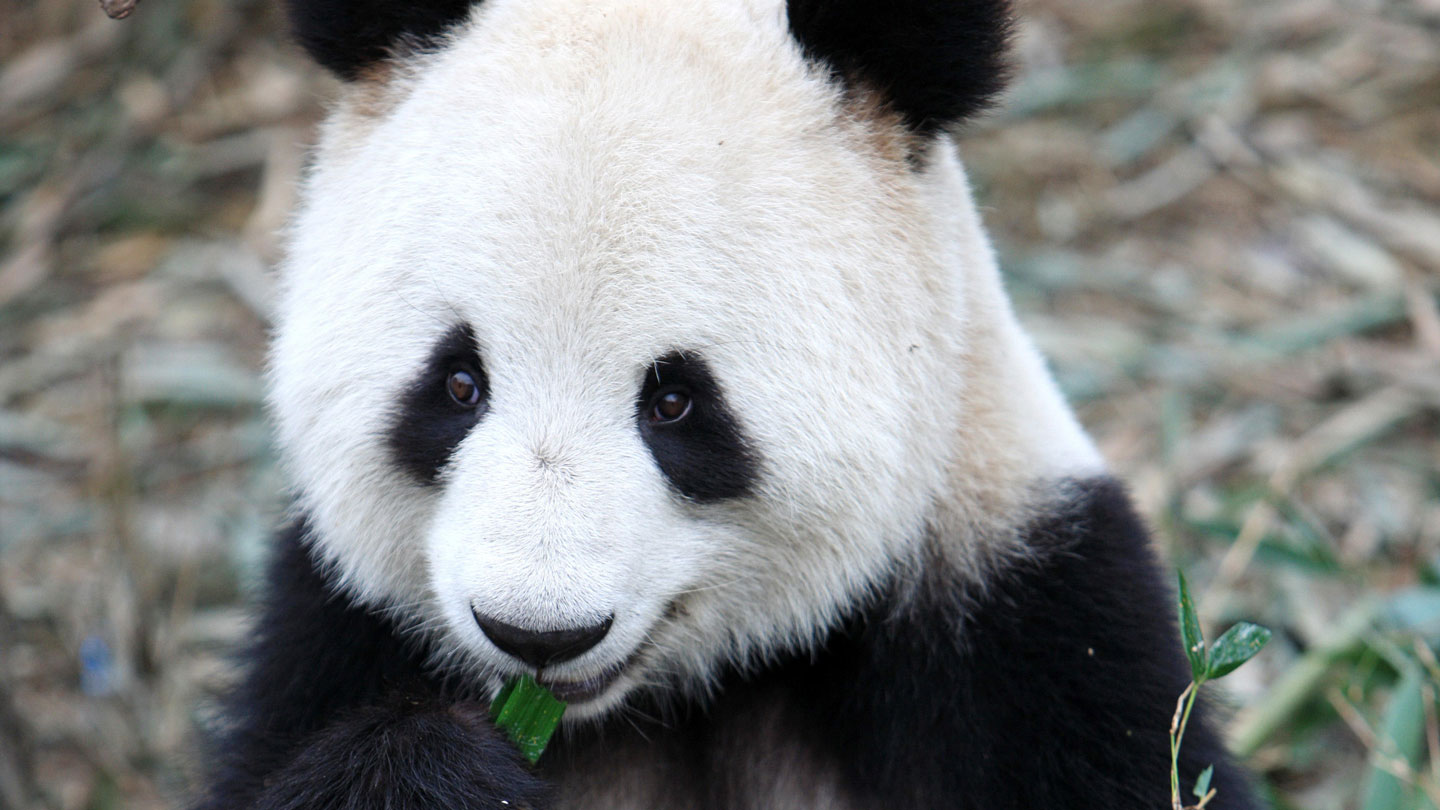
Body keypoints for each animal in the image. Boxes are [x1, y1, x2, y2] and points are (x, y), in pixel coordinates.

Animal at [197, 1, 1255, 807]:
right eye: (458, 383)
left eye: (675, 402)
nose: (539, 633)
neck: (661, 698)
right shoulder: (334, 632)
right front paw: (427, 770)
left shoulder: (1031, 627)